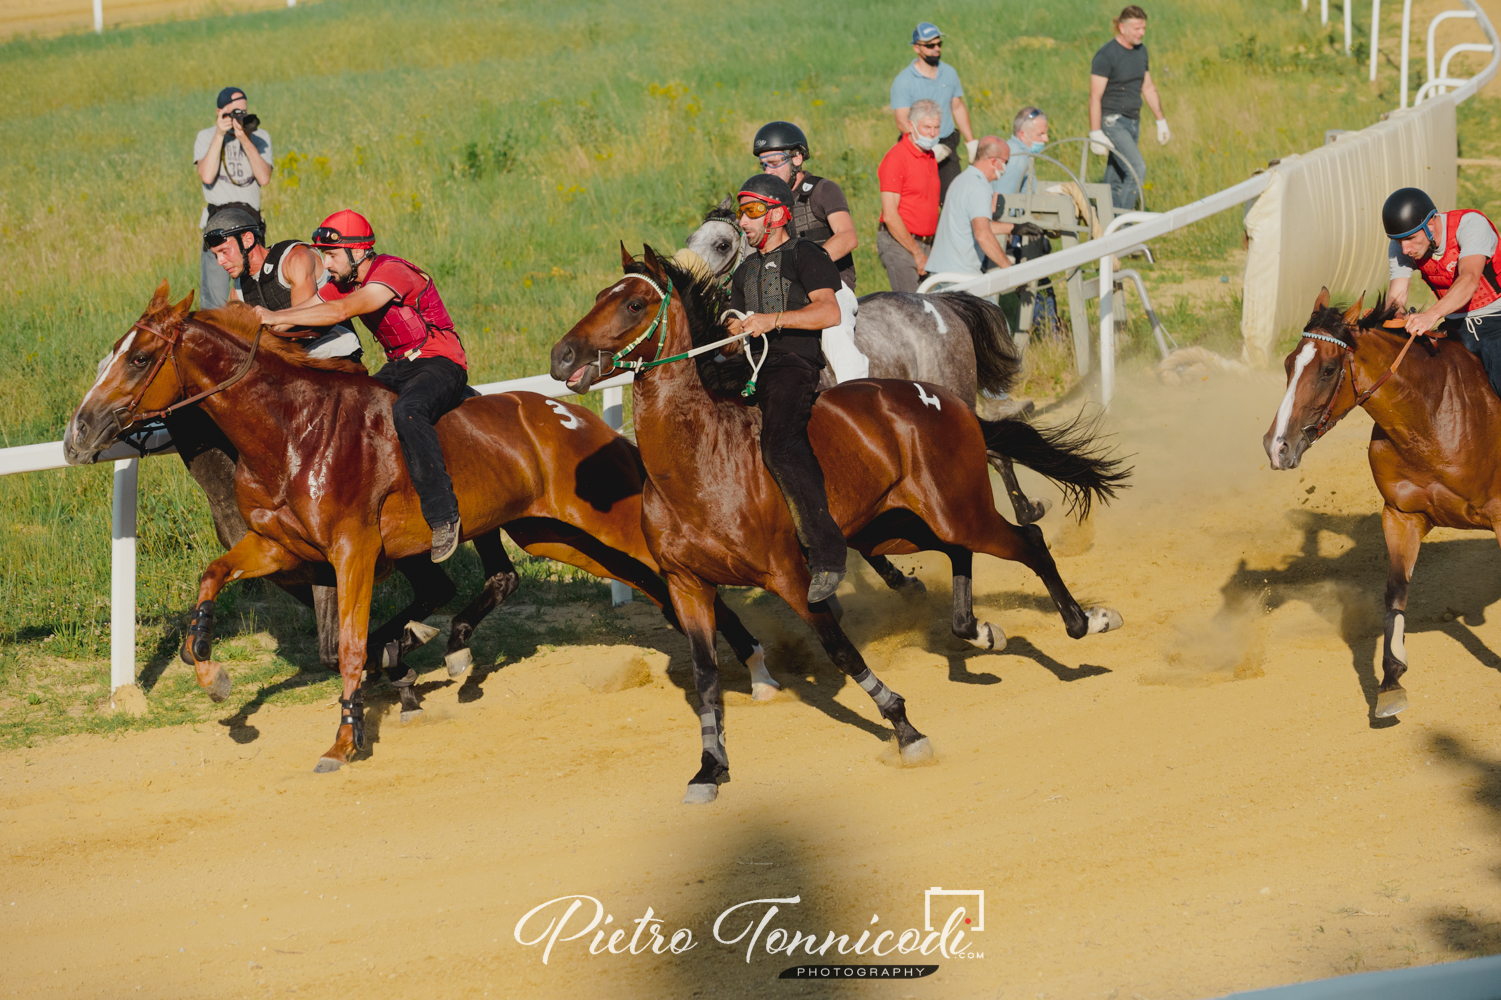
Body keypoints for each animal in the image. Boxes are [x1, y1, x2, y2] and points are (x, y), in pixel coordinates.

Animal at [67, 283, 774, 765]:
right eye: (110, 354)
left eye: (139, 358)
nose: (80, 430)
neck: (292, 431)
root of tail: (582, 419)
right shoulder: (277, 544)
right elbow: (213, 576)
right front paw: (210, 670)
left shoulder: (352, 550)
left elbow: (352, 648)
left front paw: (345, 739)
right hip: (556, 534)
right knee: (649, 583)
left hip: (611, 525)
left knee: (678, 577)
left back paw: (757, 664)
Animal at [552, 243, 1128, 804]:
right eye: (600, 296)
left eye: (633, 304)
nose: (561, 356)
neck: (699, 463)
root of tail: (940, 399)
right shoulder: (687, 586)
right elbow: (706, 677)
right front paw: (710, 767)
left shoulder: (792, 577)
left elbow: (842, 651)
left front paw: (905, 730)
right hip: (903, 524)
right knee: (959, 554)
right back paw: (981, 630)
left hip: (960, 511)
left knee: (1027, 540)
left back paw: (1086, 621)